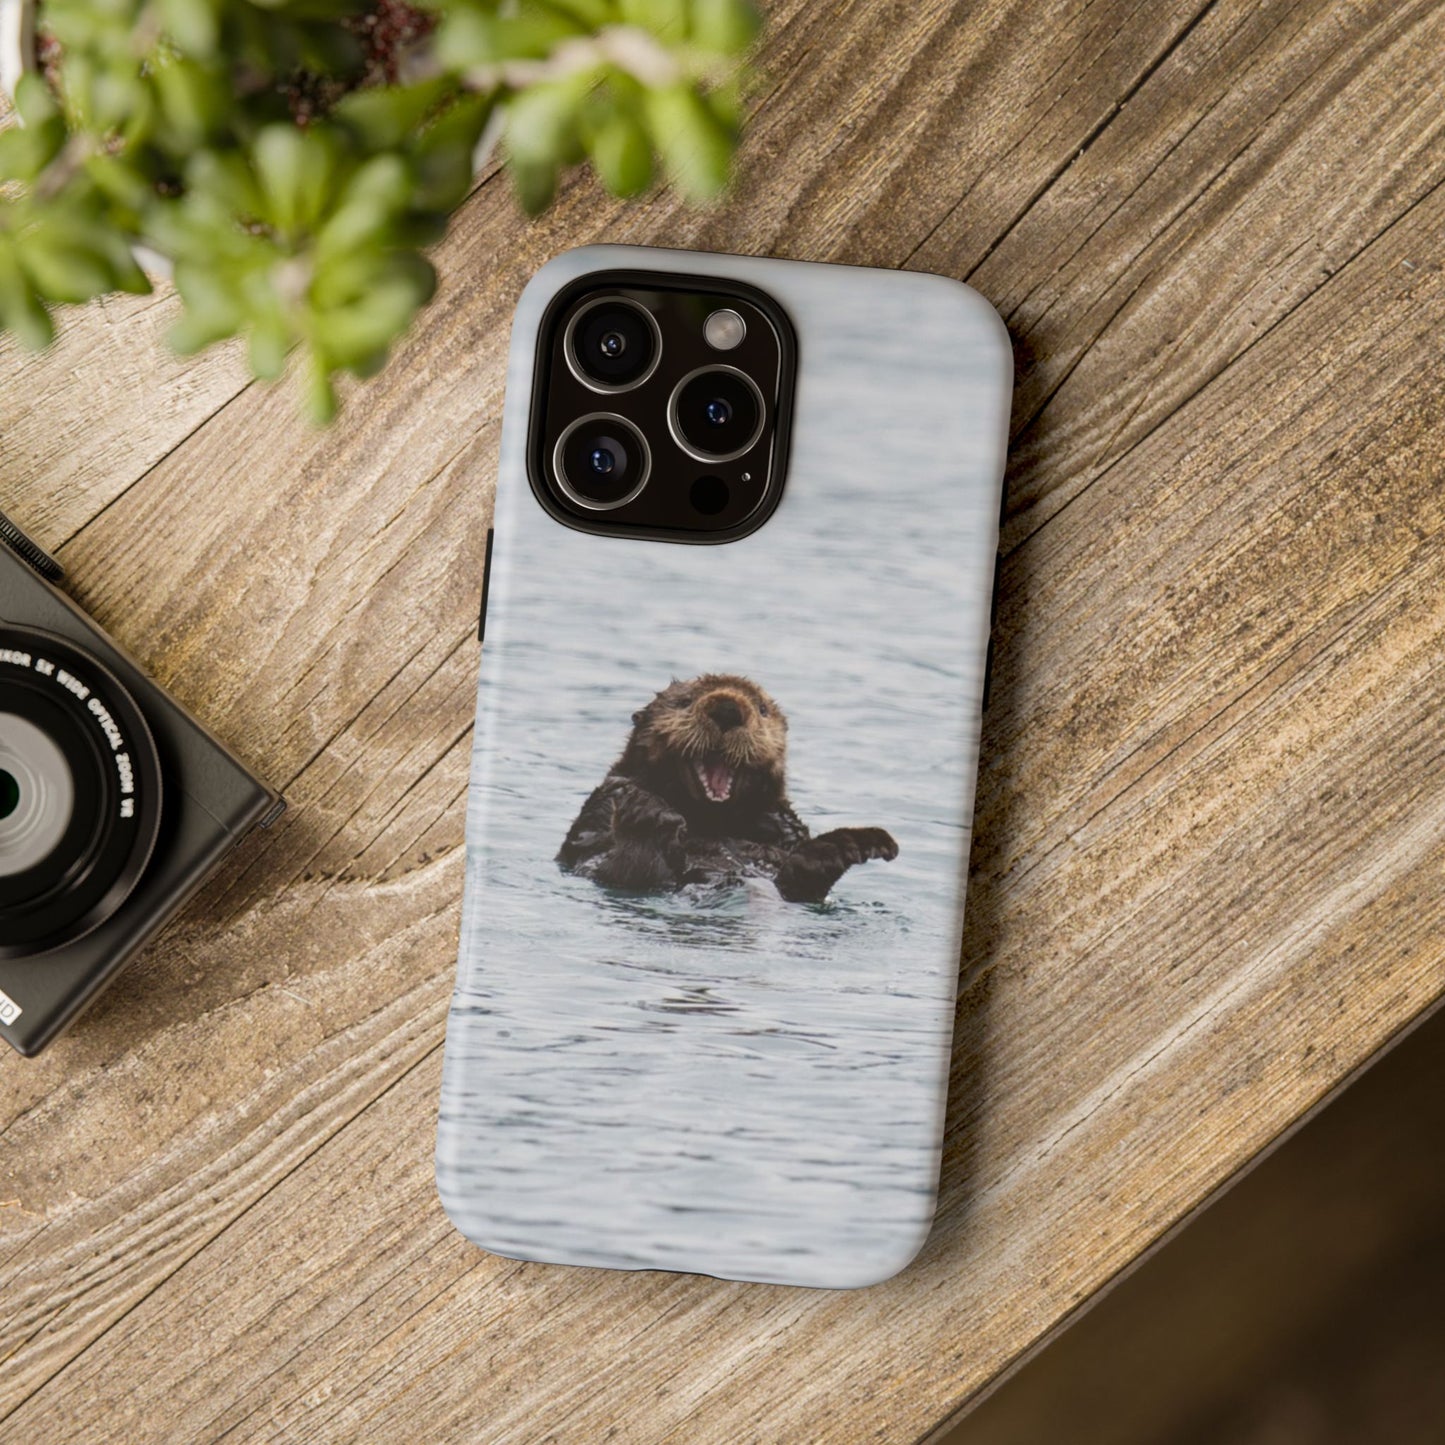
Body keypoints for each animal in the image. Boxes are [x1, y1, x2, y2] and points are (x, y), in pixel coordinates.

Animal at [557, 674, 898, 903]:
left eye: (762, 709)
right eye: (684, 702)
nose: (727, 708)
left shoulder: (783, 825)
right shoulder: (604, 802)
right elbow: (590, 843)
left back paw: (853, 844)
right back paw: (647, 816)